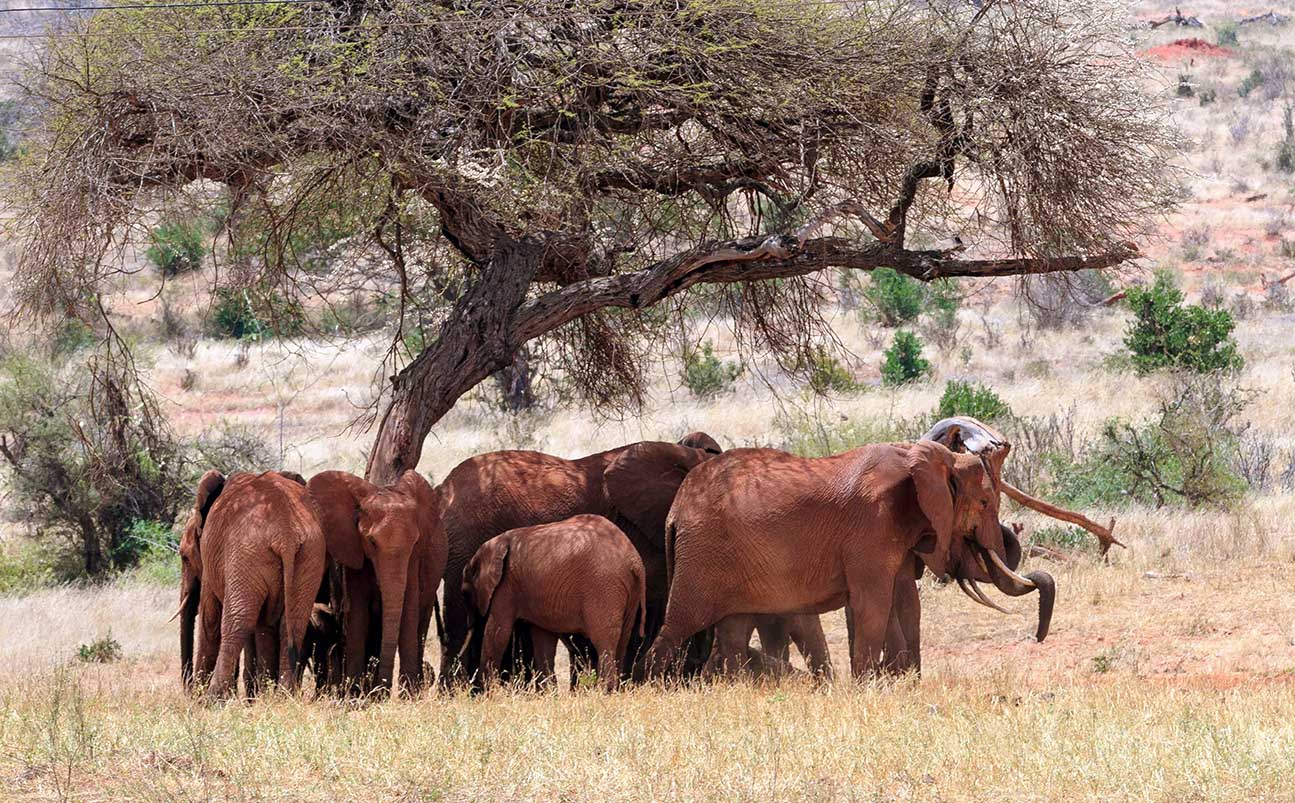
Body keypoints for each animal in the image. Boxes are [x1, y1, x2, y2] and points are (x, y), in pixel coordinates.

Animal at [177, 466, 326, 699]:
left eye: (184, 556)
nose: (189, 691)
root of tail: (287, 533)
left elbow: (210, 618)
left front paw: (199, 700)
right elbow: (265, 626)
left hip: (246, 552)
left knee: (237, 622)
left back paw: (213, 699)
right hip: (309, 555)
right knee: (292, 624)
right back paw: (283, 697)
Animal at [305, 471, 448, 694]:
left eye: (415, 542)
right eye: (371, 542)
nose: (384, 688)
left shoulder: (414, 559)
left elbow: (409, 609)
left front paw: (407, 696)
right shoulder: (353, 553)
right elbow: (357, 612)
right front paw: (356, 695)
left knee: (420, 623)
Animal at [463, 515, 647, 689]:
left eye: (465, 593)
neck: (495, 545)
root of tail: (635, 562)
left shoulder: (506, 586)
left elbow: (497, 632)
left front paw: (487, 691)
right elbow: (543, 640)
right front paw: (549, 693)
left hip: (604, 585)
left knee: (604, 641)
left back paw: (605, 691)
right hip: (627, 590)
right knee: (622, 639)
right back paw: (614, 689)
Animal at [642, 440, 1046, 678]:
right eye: (985, 503)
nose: (1038, 636)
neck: (931, 458)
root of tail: (676, 510)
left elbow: (900, 601)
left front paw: (897, 682)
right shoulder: (871, 528)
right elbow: (874, 603)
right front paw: (867, 685)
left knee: (733, 629)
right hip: (702, 555)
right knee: (679, 623)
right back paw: (654, 685)